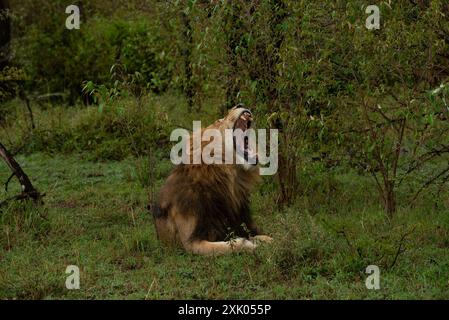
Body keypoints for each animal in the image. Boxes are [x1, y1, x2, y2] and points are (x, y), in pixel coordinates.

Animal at [154, 105, 272, 255]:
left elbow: (261, 236)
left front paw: (267, 240)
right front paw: (250, 245)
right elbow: (231, 245)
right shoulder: (190, 243)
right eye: (218, 121)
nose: (239, 105)